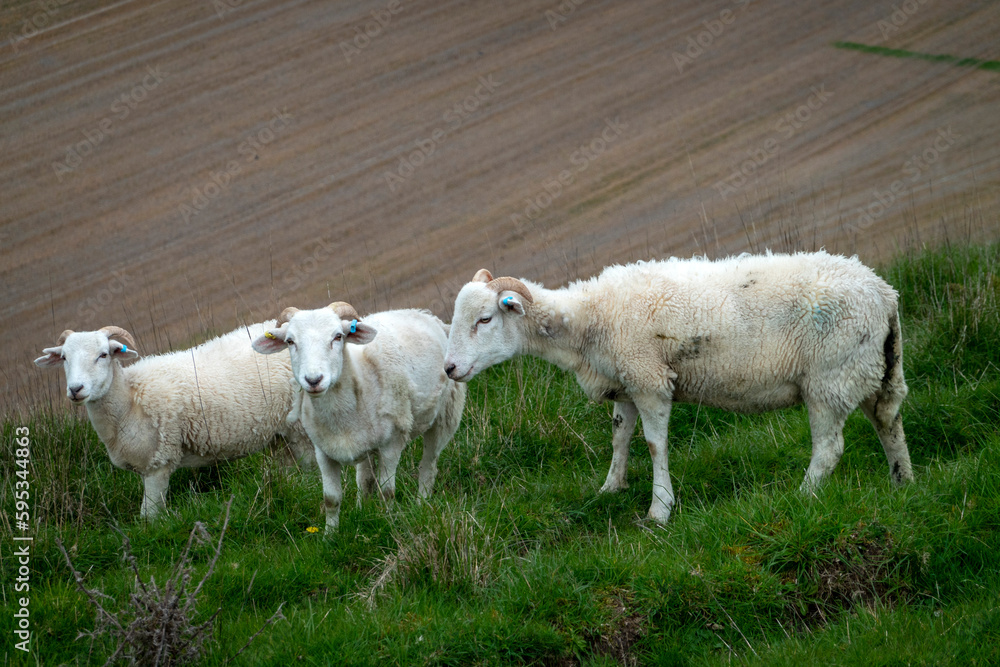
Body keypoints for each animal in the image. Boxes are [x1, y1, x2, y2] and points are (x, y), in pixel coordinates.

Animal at [34, 323, 314, 519]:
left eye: (103, 355)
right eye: (64, 358)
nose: (76, 389)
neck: (129, 400)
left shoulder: (158, 462)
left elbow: (149, 517)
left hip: (300, 429)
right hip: (279, 434)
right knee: (287, 469)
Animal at [252, 302, 467, 533]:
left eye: (338, 336)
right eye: (290, 341)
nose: (313, 380)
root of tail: (423, 314)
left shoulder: (391, 444)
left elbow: (387, 492)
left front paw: (390, 523)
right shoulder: (322, 451)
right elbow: (331, 498)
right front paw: (330, 534)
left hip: (445, 416)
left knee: (428, 465)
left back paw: (422, 502)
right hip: (367, 443)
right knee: (364, 478)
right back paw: (362, 509)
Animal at [444, 251, 914, 523]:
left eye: (485, 318)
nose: (448, 368)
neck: (588, 322)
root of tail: (884, 293)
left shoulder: (649, 378)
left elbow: (654, 445)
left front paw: (659, 509)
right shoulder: (627, 383)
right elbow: (619, 436)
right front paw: (610, 487)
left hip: (829, 378)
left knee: (829, 449)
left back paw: (802, 497)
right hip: (873, 370)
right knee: (889, 423)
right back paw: (903, 484)